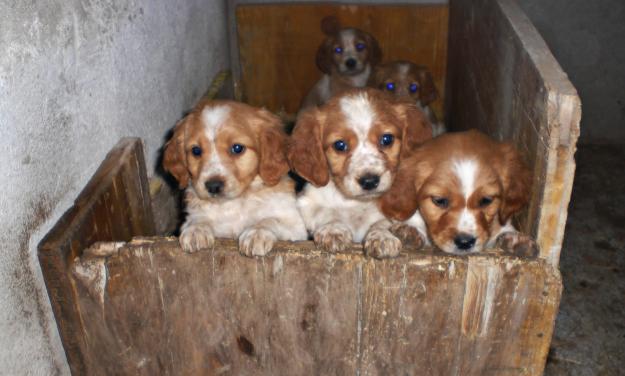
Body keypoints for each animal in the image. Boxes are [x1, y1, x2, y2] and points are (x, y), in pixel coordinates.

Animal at [162, 100, 306, 258]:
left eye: (237, 148)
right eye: (196, 151)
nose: (213, 186)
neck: (236, 202)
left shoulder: (295, 226)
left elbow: (270, 219)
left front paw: (256, 233)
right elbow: (198, 218)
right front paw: (196, 229)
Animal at [288, 88, 432, 258]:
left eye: (387, 139)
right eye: (340, 145)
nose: (369, 181)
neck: (357, 202)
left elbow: (381, 222)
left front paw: (382, 237)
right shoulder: (307, 203)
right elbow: (326, 213)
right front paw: (333, 229)